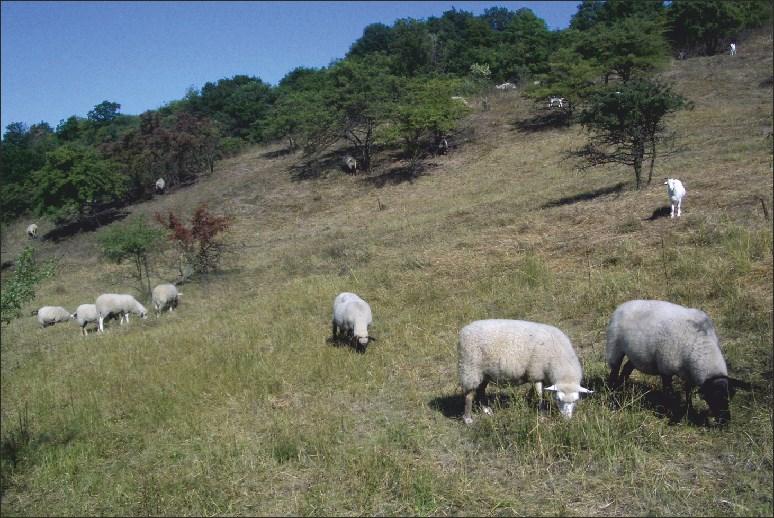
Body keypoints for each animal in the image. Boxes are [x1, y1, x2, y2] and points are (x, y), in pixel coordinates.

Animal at [460, 320, 596, 426]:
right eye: (558, 399)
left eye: (576, 400)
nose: (567, 420)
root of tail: (465, 329)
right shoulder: (536, 372)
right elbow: (540, 395)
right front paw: (541, 413)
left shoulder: (539, 375)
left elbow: (534, 392)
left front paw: (530, 402)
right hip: (470, 368)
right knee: (469, 395)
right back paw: (468, 419)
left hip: (484, 372)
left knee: (480, 390)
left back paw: (486, 410)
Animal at [608, 300, 752, 426]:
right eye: (713, 399)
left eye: (729, 398)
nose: (725, 422)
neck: (700, 343)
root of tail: (623, 304)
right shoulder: (666, 368)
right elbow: (668, 392)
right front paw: (667, 413)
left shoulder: (690, 374)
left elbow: (688, 392)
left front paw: (689, 410)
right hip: (615, 347)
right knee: (614, 369)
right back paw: (612, 392)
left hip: (636, 355)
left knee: (626, 368)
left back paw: (622, 387)